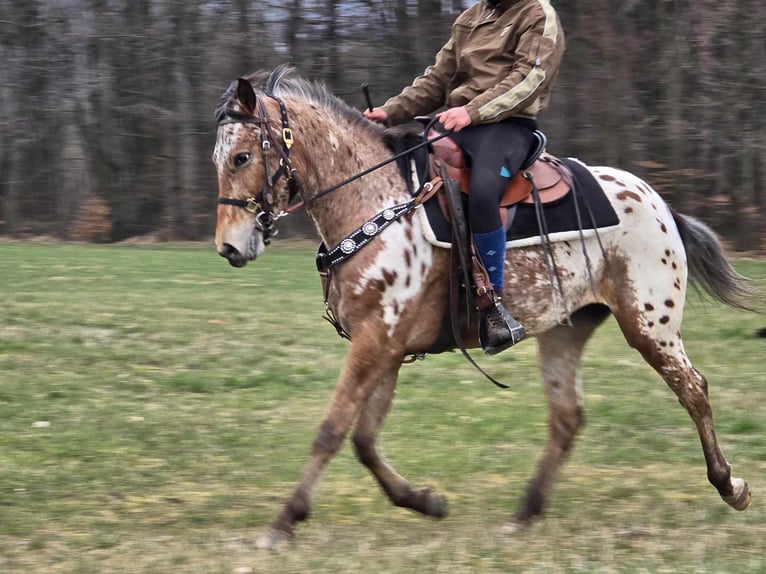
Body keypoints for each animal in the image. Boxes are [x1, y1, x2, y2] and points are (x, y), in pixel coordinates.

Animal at [212, 66, 756, 548]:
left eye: (241, 156)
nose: (229, 247)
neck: (376, 203)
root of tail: (658, 203)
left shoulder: (375, 343)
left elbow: (332, 430)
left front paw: (283, 522)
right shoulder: (386, 348)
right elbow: (364, 440)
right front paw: (425, 501)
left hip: (649, 324)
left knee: (693, 389)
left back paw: (730, 485)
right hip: (566, 328)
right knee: (567, 418)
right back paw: (525, 514)